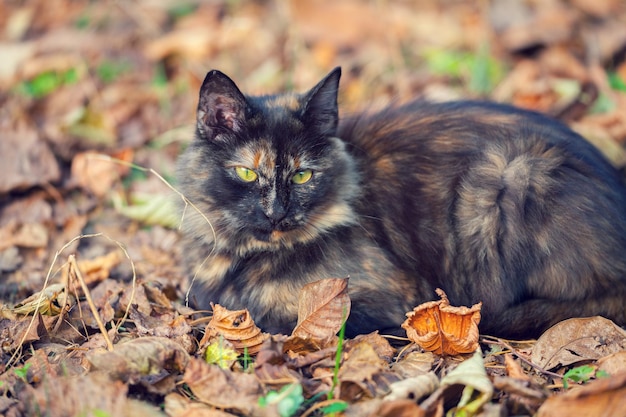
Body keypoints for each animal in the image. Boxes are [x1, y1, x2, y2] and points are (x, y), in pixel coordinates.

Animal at [176, 66, 624, 338]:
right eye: (247, 173)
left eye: (303, 175)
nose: (277, 213)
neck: (246, 255)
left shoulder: (383, 299)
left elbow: (269, 315)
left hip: (509, 172)